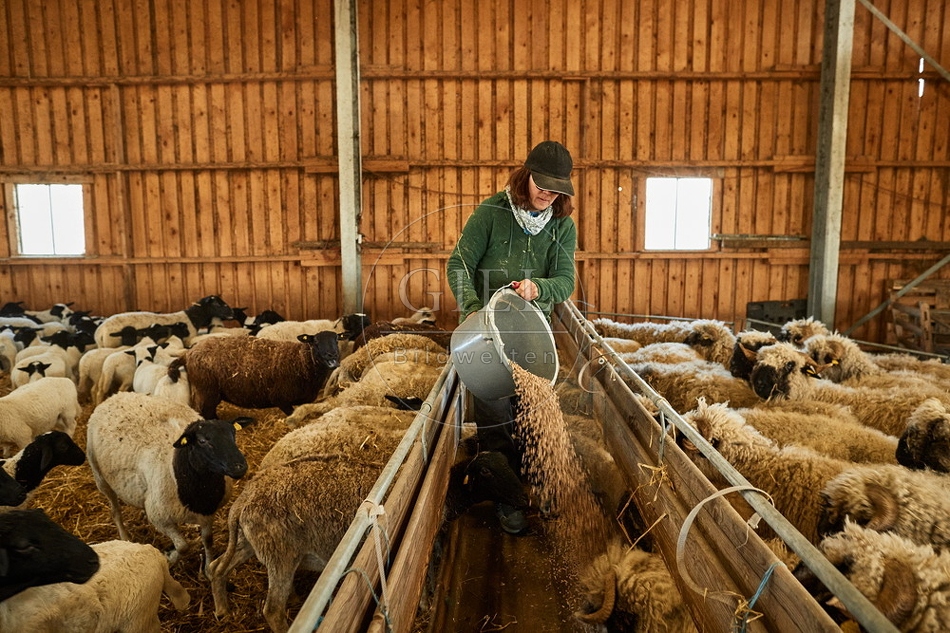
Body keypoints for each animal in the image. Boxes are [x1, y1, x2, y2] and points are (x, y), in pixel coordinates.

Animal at [86, 392, 251, 571]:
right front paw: (169, 558)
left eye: (233, 435)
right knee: (115, 510)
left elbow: (208, 540)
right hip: (100, 477)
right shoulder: (161, 519)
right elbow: (183, 547)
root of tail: (116, 396)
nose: (239, 466)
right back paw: (124, 536)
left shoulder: (207, 513)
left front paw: (207, 568)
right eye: (202, 441)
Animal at [93, 294, 234, 348]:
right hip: (112, 344)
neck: (192, 318)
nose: (232, 312)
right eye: (217, 304)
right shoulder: (187, 339)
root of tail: (100, 332)